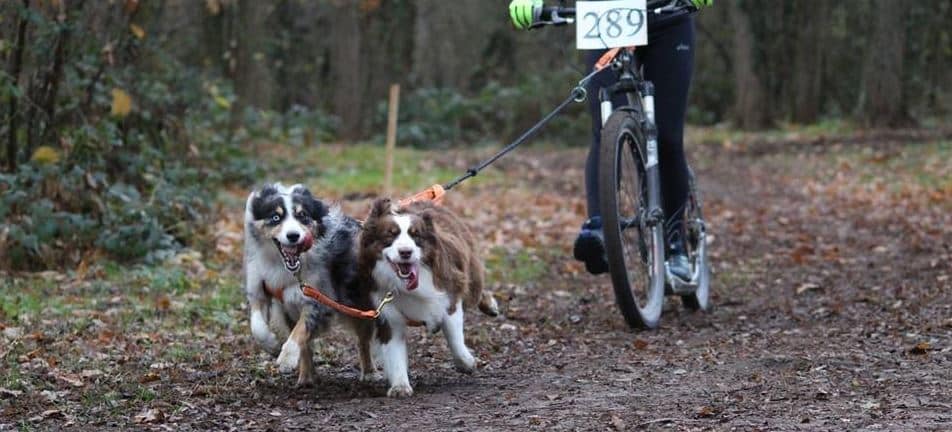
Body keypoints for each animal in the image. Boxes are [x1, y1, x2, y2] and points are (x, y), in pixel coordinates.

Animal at [356, 197, 498, 396]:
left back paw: (490, 305)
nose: (406, 252)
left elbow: (454, 337)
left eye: (416, 235)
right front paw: (400, 386)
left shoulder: (448, 296)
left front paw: (467, 362)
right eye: (390, 235)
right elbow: (394, 351)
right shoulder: (386, 311)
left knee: (474, 289)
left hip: (469, 271)